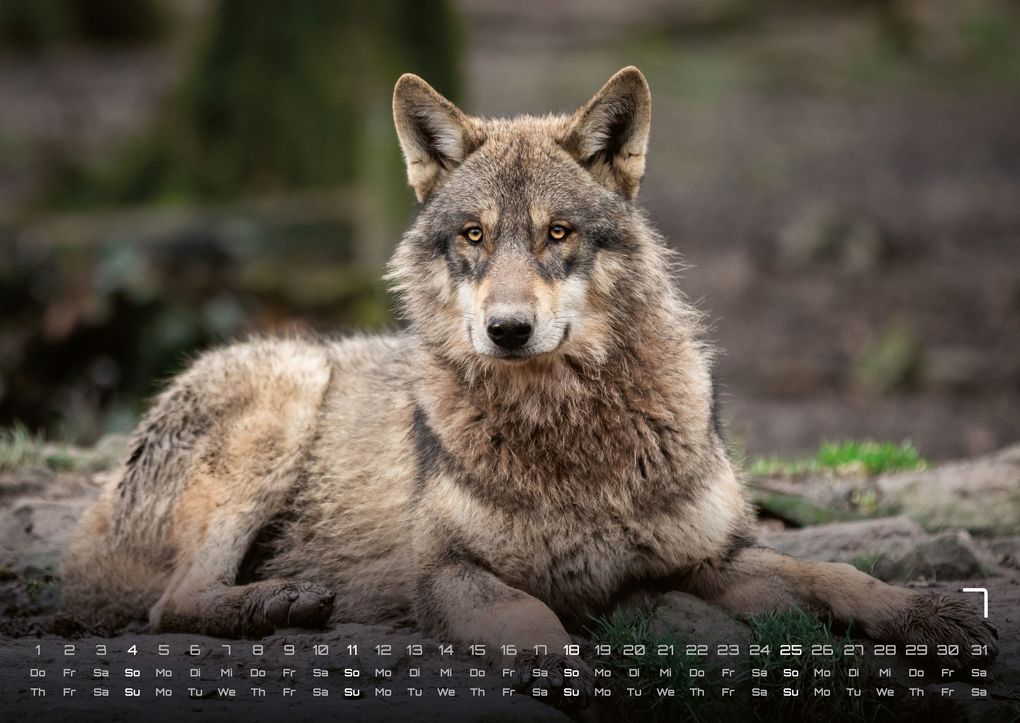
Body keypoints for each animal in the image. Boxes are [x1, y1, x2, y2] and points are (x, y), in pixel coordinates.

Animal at [62, 67, 996, 699]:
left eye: (557, 233)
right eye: (474, 235)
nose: (506, 329)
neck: (572, 434)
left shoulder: (709, 556)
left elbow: (831, 573)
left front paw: (927, 615)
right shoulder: (446, 572)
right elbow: (529, 620)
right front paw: (571, 670)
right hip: (283, 394)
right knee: (170, 605)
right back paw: (279, 601)